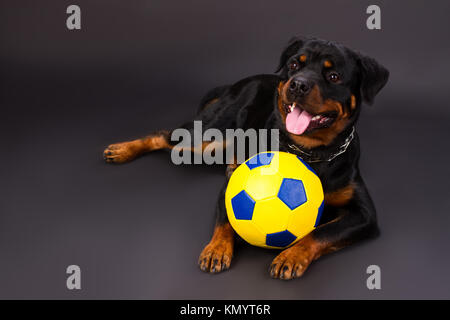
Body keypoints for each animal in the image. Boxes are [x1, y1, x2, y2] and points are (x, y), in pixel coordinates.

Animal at [103, 36, 388, 278]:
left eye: (333, 76)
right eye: (295, 64)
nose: (298, 83)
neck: (310, 151)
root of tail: (239, 82)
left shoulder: (364, 215)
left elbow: (322, 232)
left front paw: (292, 255)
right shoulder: (228, 191)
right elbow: (225, 218)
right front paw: (217, 248)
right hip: (209, 136)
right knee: (164, 135)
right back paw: (123, 150)